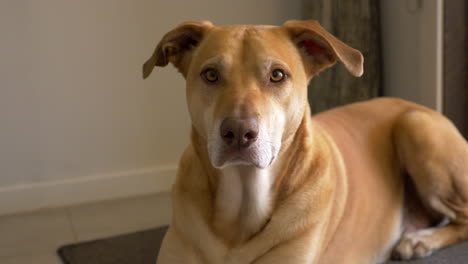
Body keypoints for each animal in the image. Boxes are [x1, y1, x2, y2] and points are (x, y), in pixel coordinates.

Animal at [143, 19, 468, 262]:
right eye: (210, 74)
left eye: (277, 75)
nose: (237, 132)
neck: (242, 209)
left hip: (416, 127)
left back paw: (420, 241)